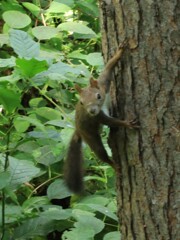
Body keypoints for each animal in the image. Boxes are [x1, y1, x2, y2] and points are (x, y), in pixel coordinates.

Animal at [64, 40, 137, 193]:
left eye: (98, 96)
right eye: (81, 102)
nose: (91, 111)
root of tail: (78, 130)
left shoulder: (103, 84)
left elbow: (108, 69)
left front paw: (119, 53)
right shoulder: (98, 117)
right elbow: (112, 122)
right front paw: (127, 123)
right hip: (90, 136)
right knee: (101, 153)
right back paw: (114, 165)